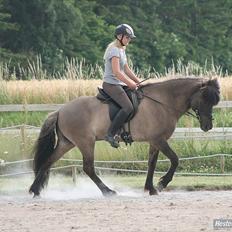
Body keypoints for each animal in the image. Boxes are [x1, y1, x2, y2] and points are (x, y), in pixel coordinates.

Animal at [28, 77, 219, 196]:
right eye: (205, 98)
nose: (207, 126)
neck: (163, 102)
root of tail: (60, 110)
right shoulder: (159, 140)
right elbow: (175, 160)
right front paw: (161, 184)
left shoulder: (154, 141)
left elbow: (151, 163)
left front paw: (150, 188)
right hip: (85, 143)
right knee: (88, 168)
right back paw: (108, 191)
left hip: (67, 143)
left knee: (48, 162)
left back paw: (35, 190)